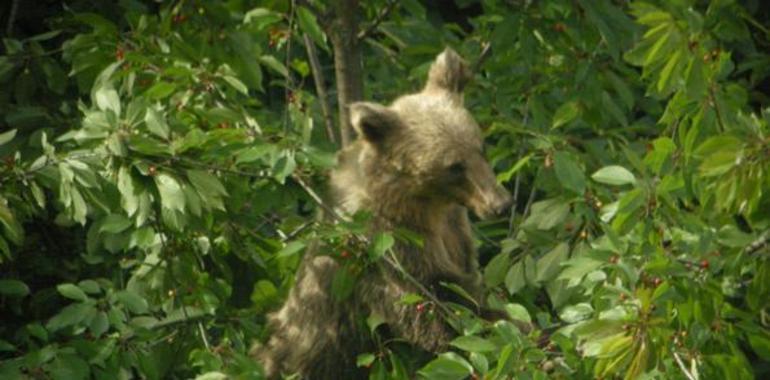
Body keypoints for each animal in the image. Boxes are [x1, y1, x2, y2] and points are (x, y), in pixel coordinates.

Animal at [255, 48, 512, 380]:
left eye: (480, 148)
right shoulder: (389, 244)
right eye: (454, 166)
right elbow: (436, 304)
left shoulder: (455, 230)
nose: (501, 204)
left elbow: (465, 281)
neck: (425, 204)